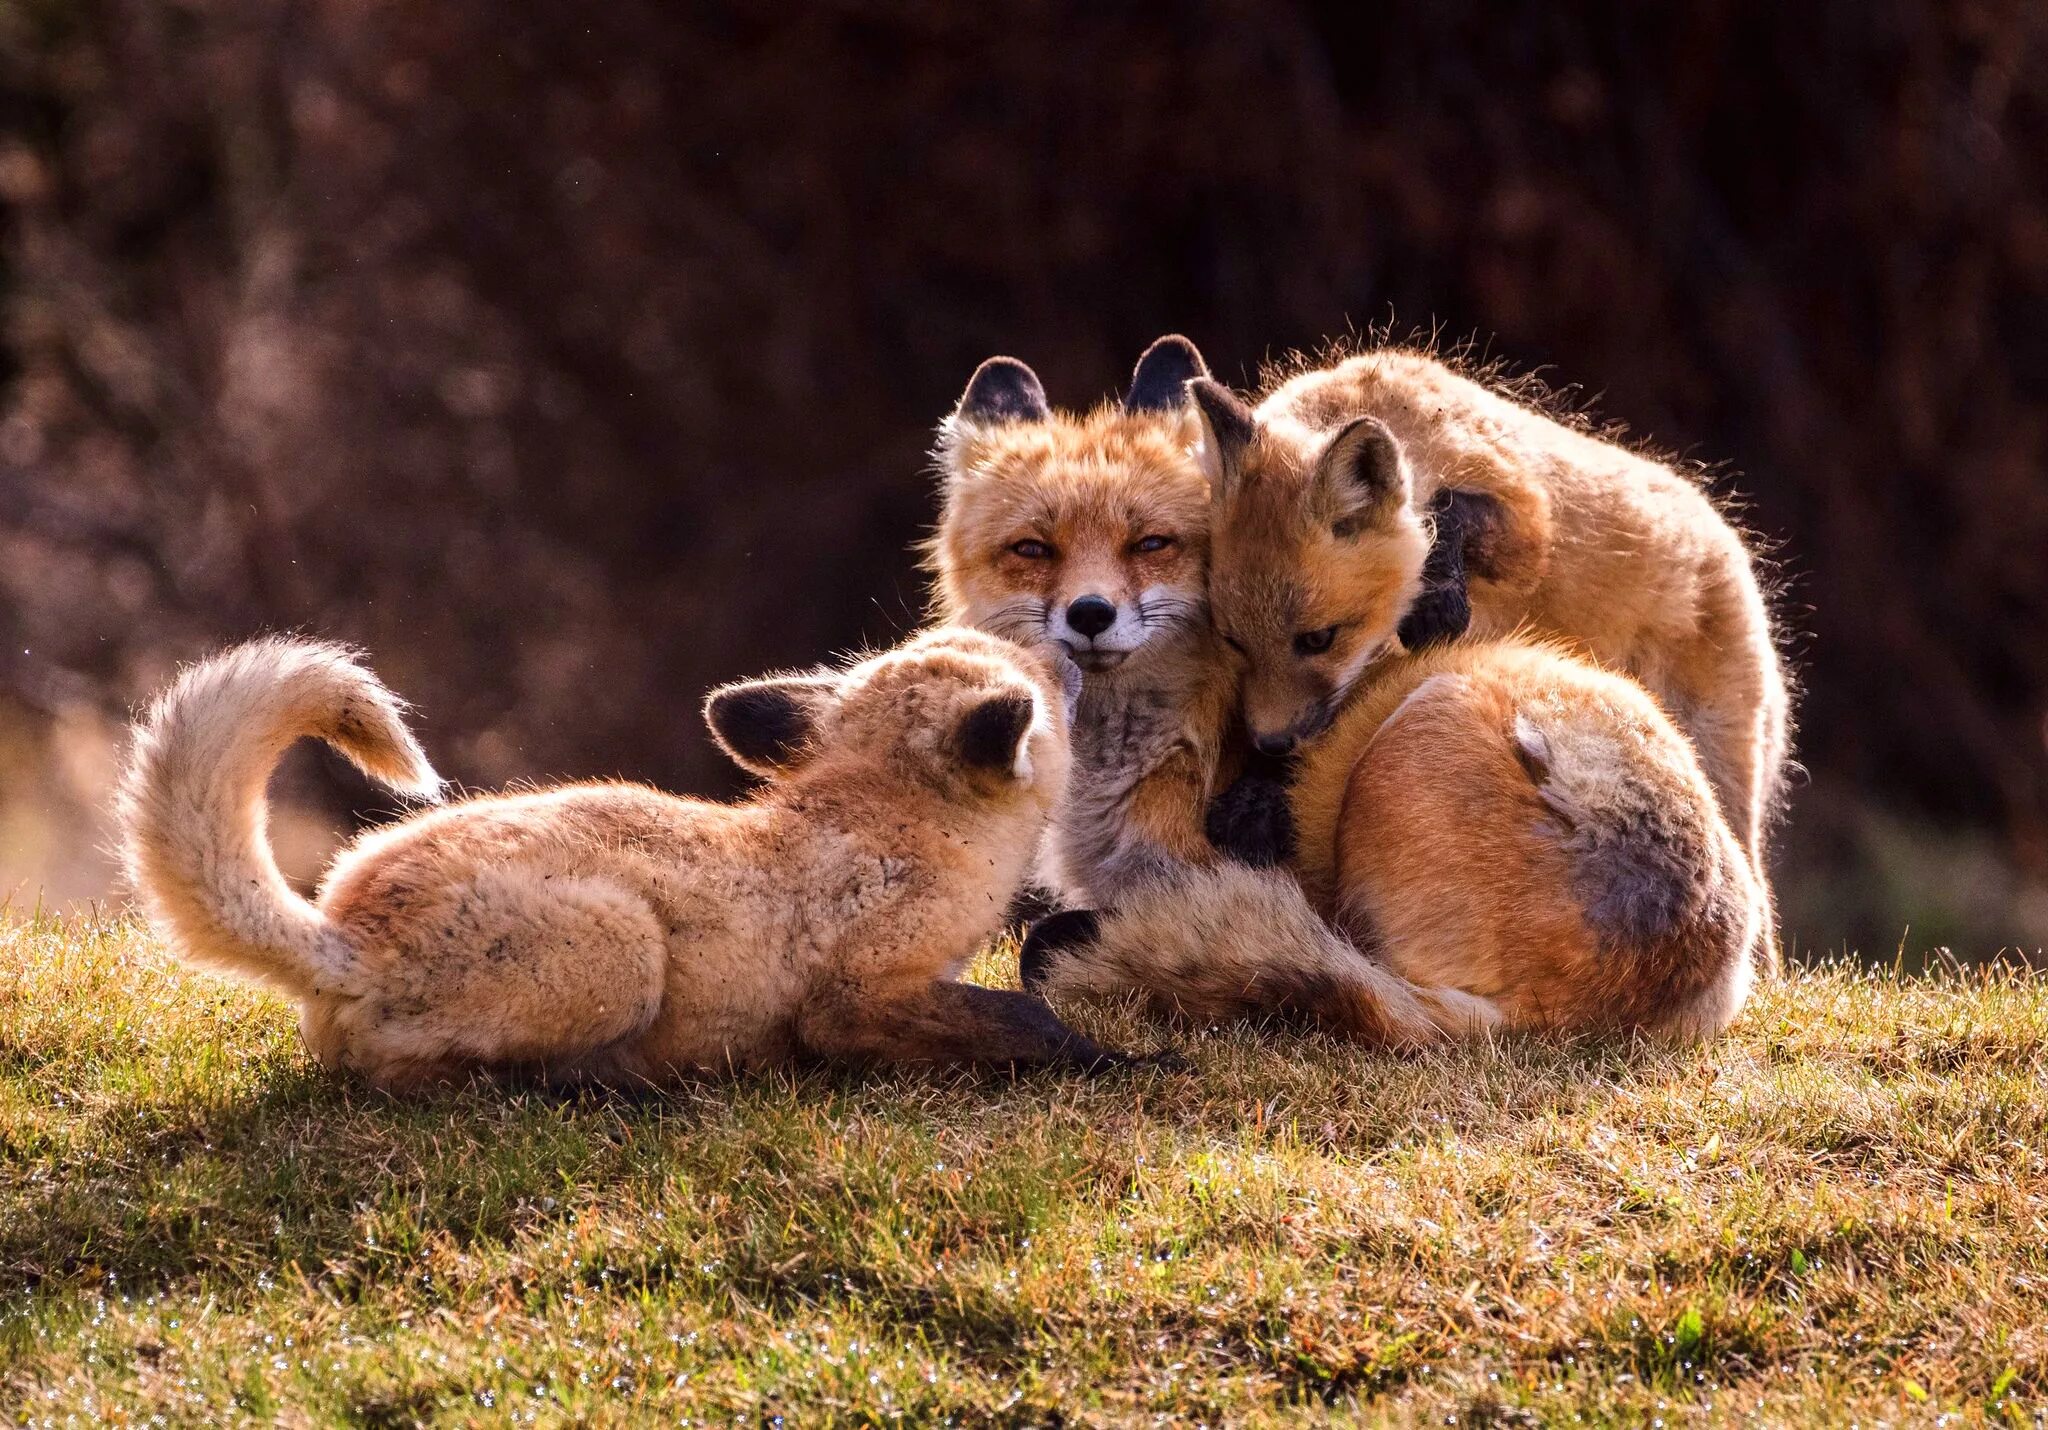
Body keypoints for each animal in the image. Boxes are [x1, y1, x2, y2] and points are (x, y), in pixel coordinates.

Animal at [119, 631, 1130, 1089]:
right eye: (1037, 680)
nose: (1075, 637)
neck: (895, 828)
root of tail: (343, 937)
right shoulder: (853, 1000)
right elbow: (1024, 1018)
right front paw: (1119, 1063)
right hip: (626, 950)